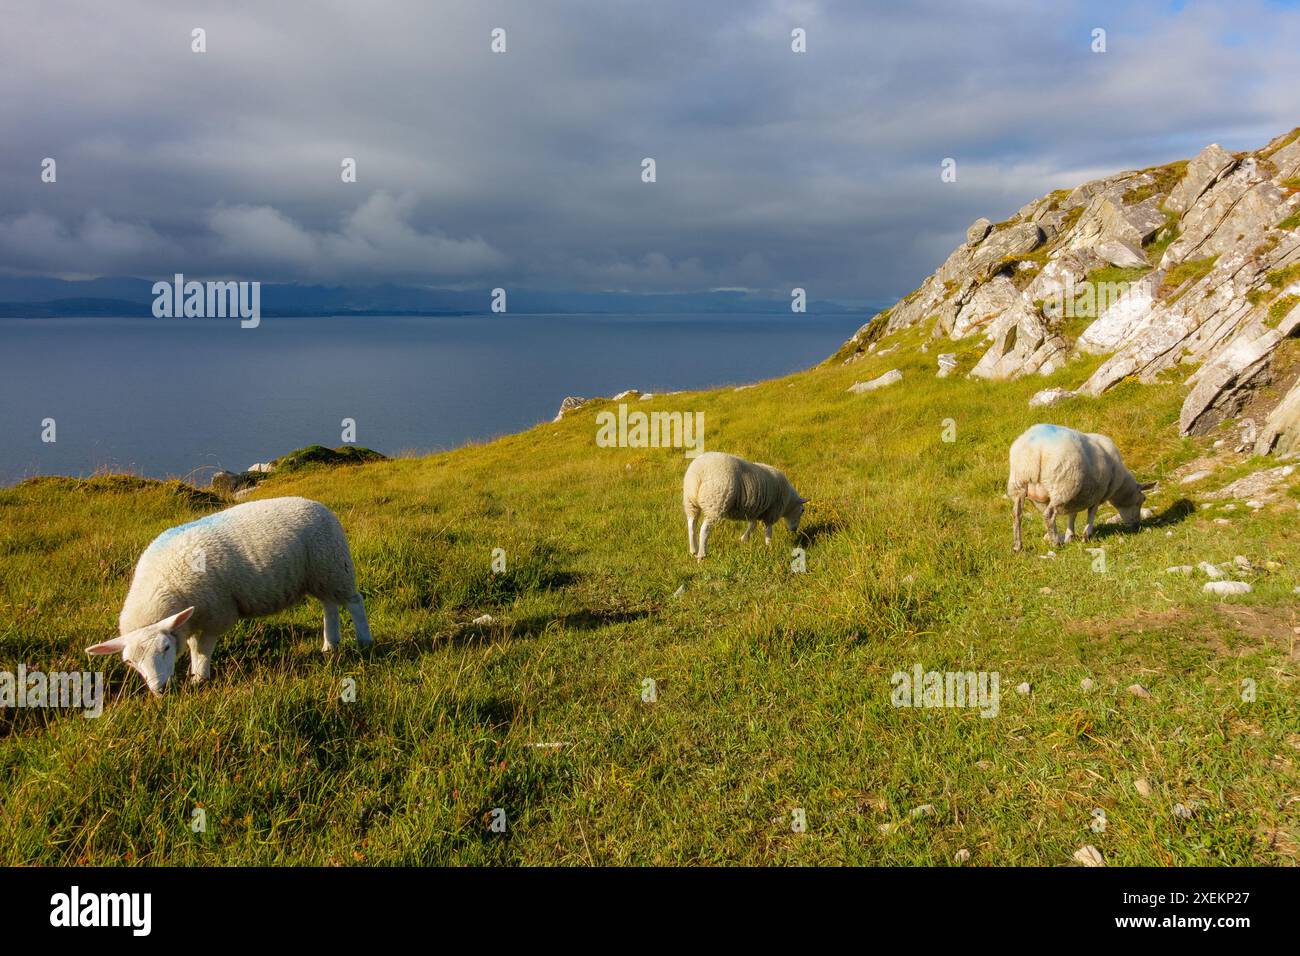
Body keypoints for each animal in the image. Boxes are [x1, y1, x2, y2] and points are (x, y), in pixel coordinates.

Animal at [85, 494, 371, 697]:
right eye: (130, 662)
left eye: (165, 648)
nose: (160, 690)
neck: (163, 584)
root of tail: (318, 505)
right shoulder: (193, 617)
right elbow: (193, 646)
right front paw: (193, 676)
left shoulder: (215, 613)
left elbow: (200, 649)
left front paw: (199, 679)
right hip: (320, 575)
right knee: (329, 606)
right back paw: (330, 645)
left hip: (334, 565)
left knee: (355, 602)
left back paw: (364, 641)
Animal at [1003, 426, 1159, 554]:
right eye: (1143, 499)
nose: (1137, 526)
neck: (1120, 485)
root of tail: (1034, 449)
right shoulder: (1097, 494)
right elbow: (1091, 515)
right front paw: (1086, 536)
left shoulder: (1075, 497)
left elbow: (1072, 515)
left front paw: (1070, 536)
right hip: (1063, 485)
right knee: (1049, 514)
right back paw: (1056, 543)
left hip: (1018, 484)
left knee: (1016, 514)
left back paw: (1017, 546)